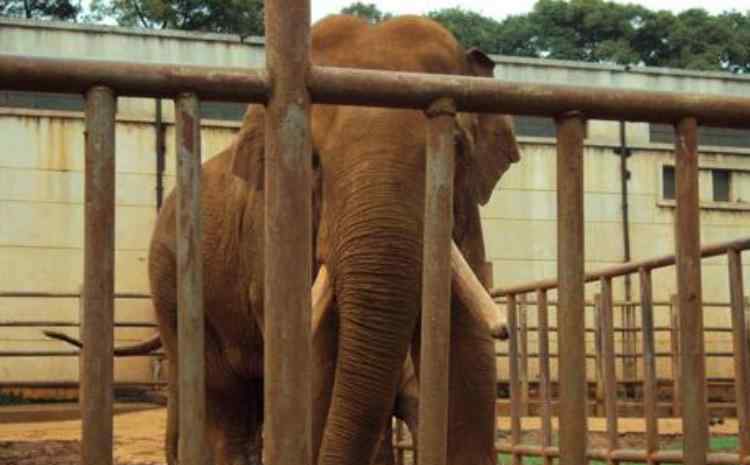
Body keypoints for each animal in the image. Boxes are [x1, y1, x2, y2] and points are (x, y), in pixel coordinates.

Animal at [45, 12, 516, 464]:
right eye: (313, 160)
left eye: (456, 148)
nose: (507, 331)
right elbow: (316, 359)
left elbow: (466, 349)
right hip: (170, 283)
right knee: (223, 400)